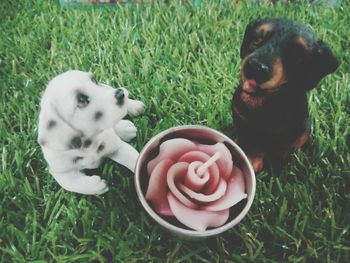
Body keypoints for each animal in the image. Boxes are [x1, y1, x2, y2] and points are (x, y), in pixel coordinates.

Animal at [232, 17, 340, 172]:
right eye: (257, 39)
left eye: (297, 55)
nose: (256, 67)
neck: (261, 100)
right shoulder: (240, 121)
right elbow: (243, 138)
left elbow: (269, 149)